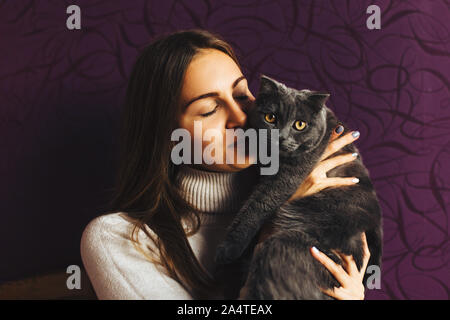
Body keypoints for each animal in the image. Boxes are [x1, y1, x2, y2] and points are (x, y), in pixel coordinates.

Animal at [214, 75, 384, 300]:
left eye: (300, 124)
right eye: (270, 117)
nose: (281, 137)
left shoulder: (287, 177)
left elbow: (256, 206)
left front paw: (226, 250)